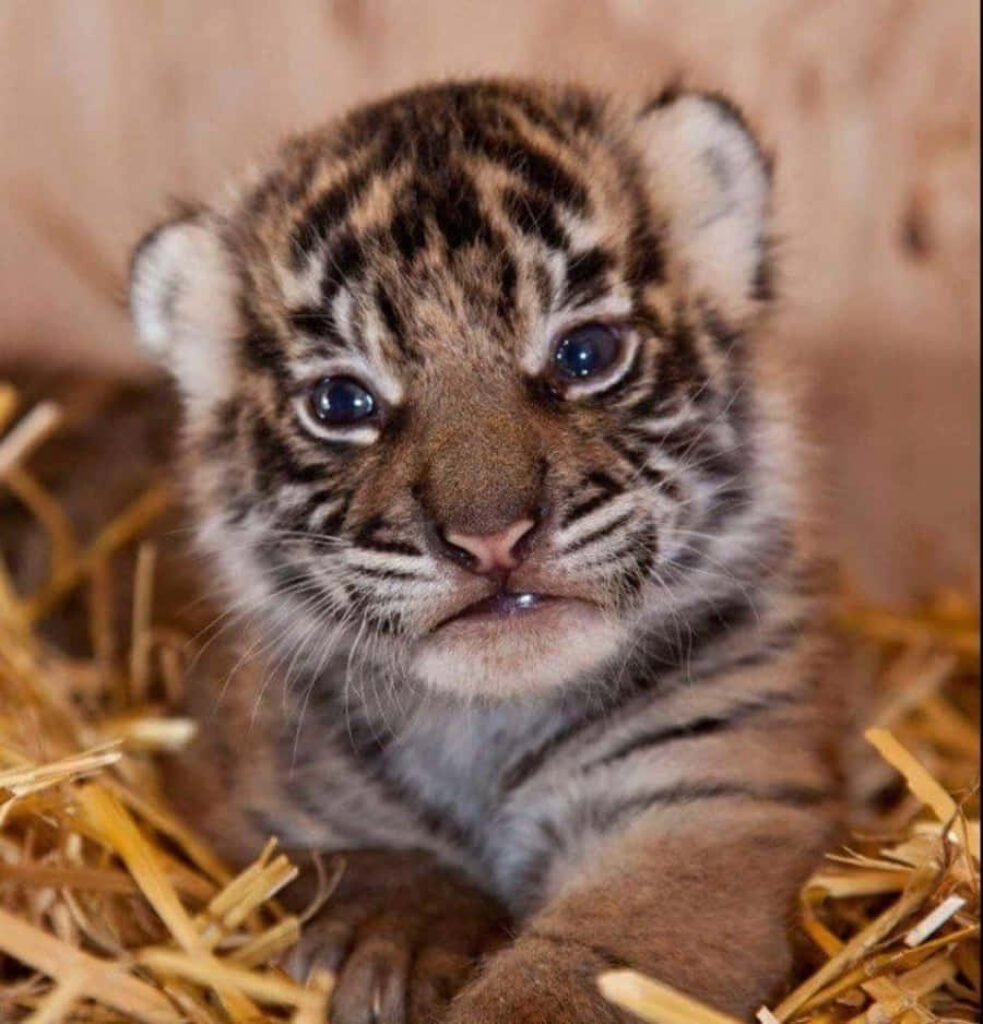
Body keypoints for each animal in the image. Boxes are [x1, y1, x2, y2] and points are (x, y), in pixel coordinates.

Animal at [124, 79, 843, 1023]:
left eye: (585, 354)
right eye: (343, 401)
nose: (490, 537)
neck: (488, 727)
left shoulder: (706, 804)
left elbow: (567, 979)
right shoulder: (233, 794)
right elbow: (357, 856)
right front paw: (391, 939)